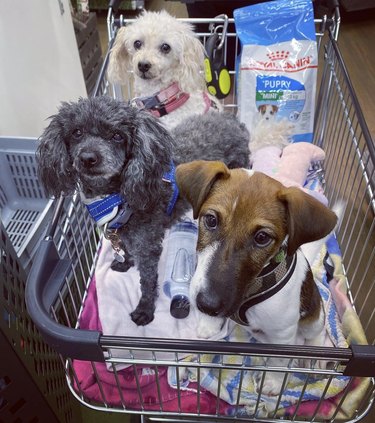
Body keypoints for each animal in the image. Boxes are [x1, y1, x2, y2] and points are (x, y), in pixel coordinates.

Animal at [176, 161, 340, 396]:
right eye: (211, 220)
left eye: (262, 237)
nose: (207, 305)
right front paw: (209, 325)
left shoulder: (283, 333)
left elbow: (279, 361)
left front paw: (273, 381)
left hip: (313, 316)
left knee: (317, 332)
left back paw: (314, 355)